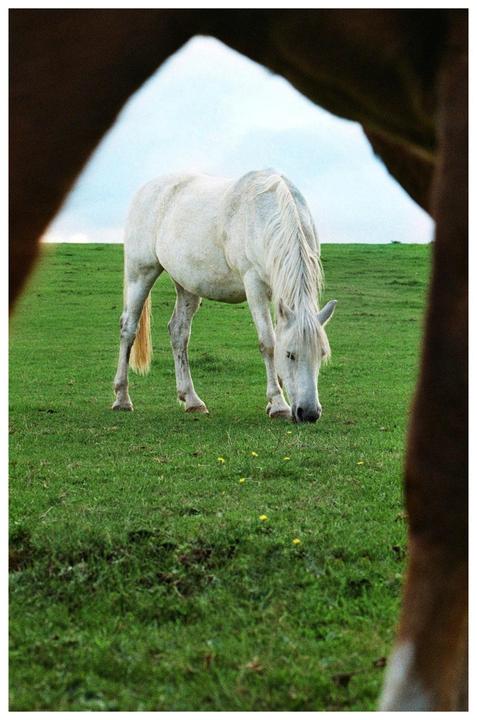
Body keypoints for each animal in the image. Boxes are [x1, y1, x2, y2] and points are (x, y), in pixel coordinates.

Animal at [112, 170, 337, 422]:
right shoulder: (254, 285)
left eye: (322, 354)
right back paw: (122, 398)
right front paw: (278, 404)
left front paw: (275, 400)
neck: (267, 213)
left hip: (187, 285)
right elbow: (268, 343)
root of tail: (146, 189)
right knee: (129, 329)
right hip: (141, 273)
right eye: (290, 355)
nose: (308, 413)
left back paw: (191, 400)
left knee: (178, 332)